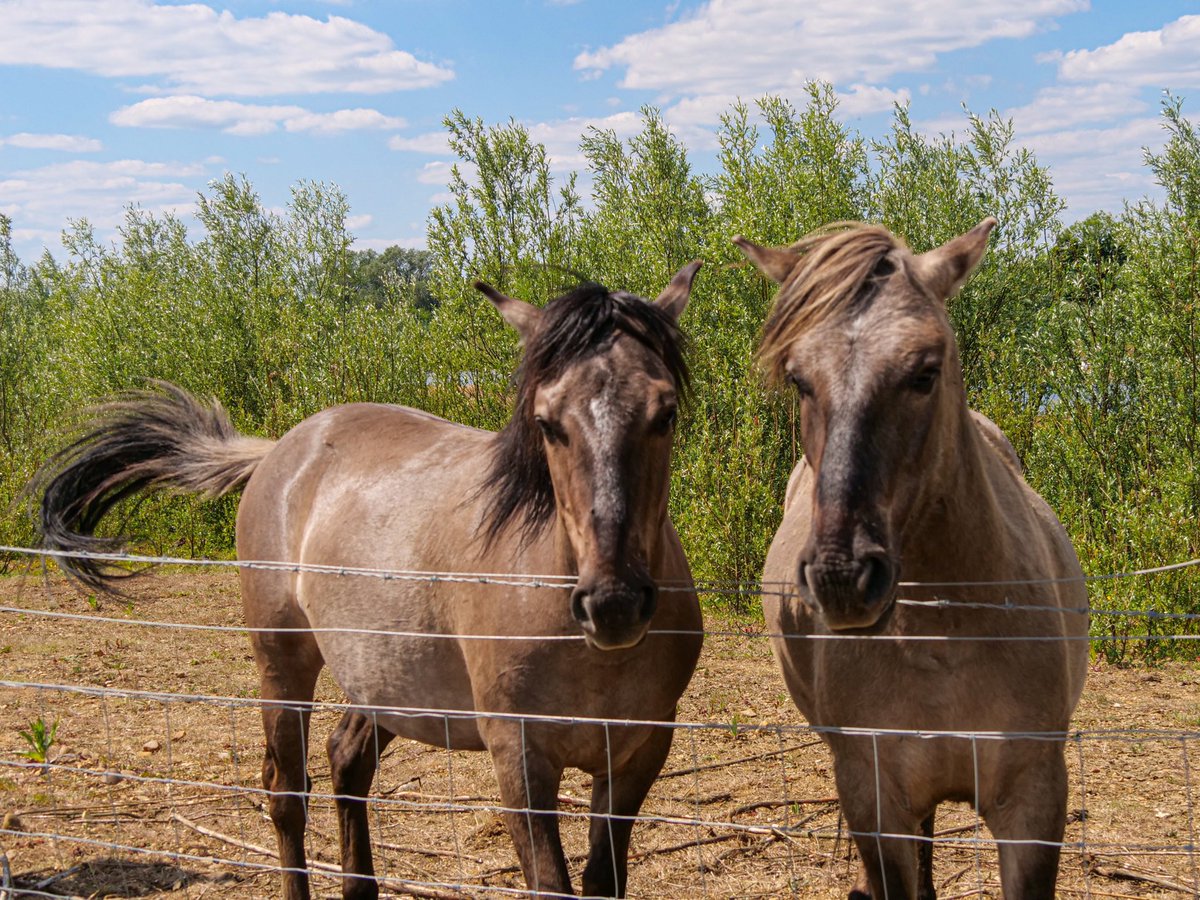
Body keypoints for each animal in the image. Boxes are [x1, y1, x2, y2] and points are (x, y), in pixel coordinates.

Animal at [37, 264, 705, 900]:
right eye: (547, 422)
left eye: (666, 412)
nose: (613, 604)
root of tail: (280, 450)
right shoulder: (520, 759)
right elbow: (551, 885)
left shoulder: (638, 755)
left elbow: (604, 882)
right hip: (283, 666)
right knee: (286, 791)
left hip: (380, 676)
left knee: (347, 760)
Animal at [735, 220, 1088, 899]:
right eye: (798, 380)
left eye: (925, 372)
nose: (843, 577)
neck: (941, 636)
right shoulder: (876, 799)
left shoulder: (1033, 803)